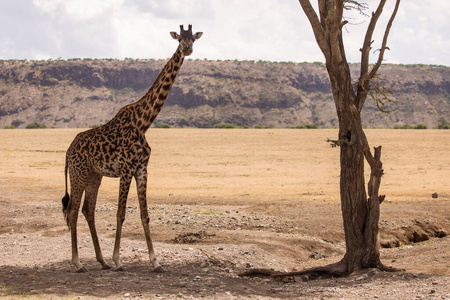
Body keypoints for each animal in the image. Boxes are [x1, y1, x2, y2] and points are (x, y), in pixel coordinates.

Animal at [61, 25, 202, 274]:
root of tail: (68, 151)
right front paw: (119, 260)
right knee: (72, 210)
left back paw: (102, 261)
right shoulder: (126, 169)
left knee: (88, 210)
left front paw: (156, 262)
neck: (143, 123)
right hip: (78, 173)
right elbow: (121, 213)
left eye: (193, 39)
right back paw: (78, 263)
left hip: (94, 175)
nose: (187, 49)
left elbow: (145, 215)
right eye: (179, 39)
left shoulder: (142, 169)